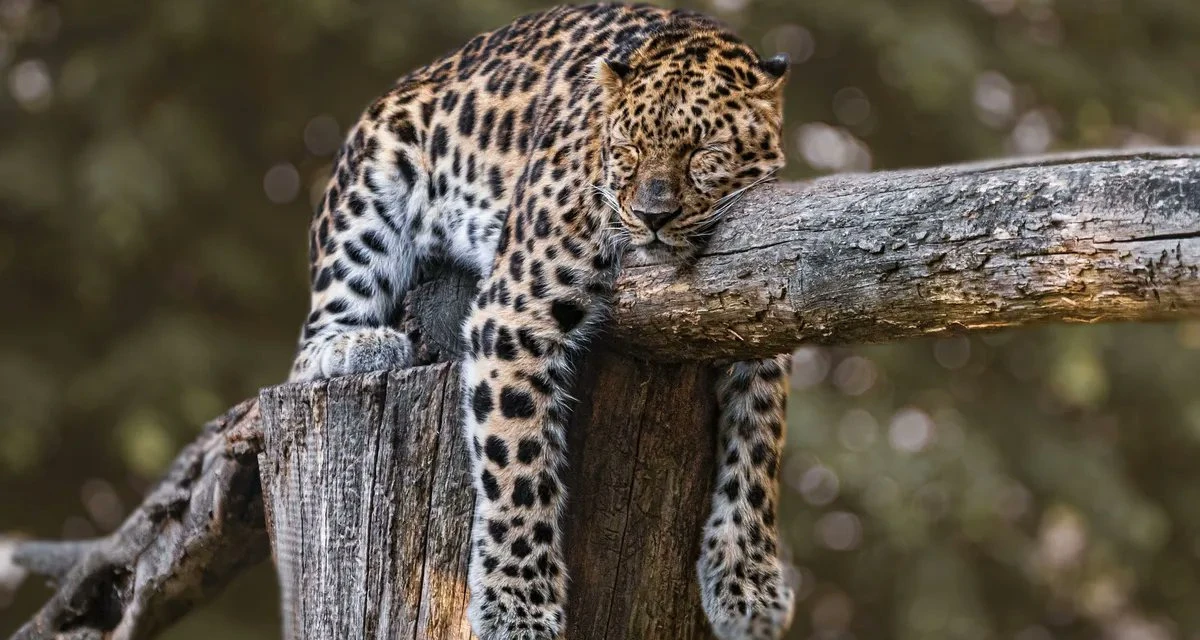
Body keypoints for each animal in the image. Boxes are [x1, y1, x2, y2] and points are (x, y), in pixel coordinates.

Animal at [287, 4, 794, 639]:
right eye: (628, 147)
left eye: (704, 151)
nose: (652, 216)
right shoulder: (513, 314)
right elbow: (518, 462)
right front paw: (518, 607)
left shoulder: (761, 318)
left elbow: (757, 451)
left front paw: (748, 584)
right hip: (367, 197)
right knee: (310, 343)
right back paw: (361, 346)